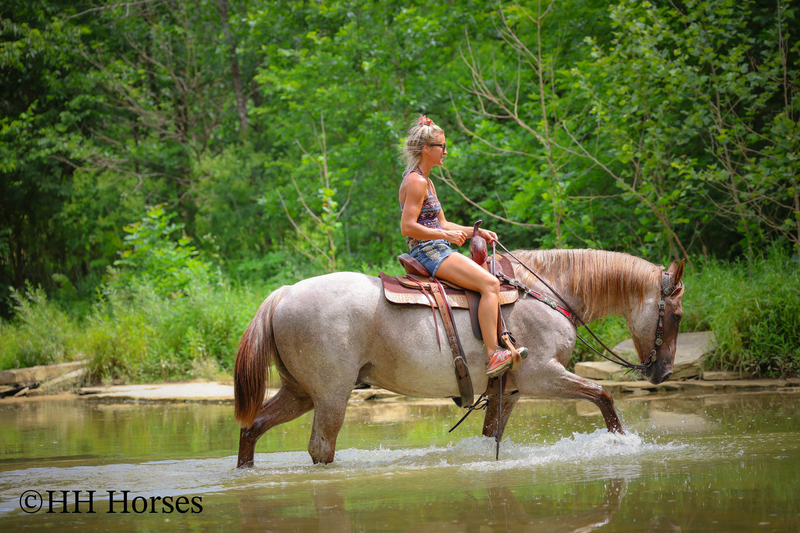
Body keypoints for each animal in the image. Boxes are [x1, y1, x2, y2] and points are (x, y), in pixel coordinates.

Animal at [234, 249, 685, 467]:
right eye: (678, 315)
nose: (664, 372)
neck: (545, 293)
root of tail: (283, 294)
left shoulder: (510, 392)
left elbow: (491, 438)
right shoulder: (544, 376)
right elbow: (603, 395)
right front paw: (621, 443)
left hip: (299, 392)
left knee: (252, 428)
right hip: (331, 396)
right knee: (320, 448)